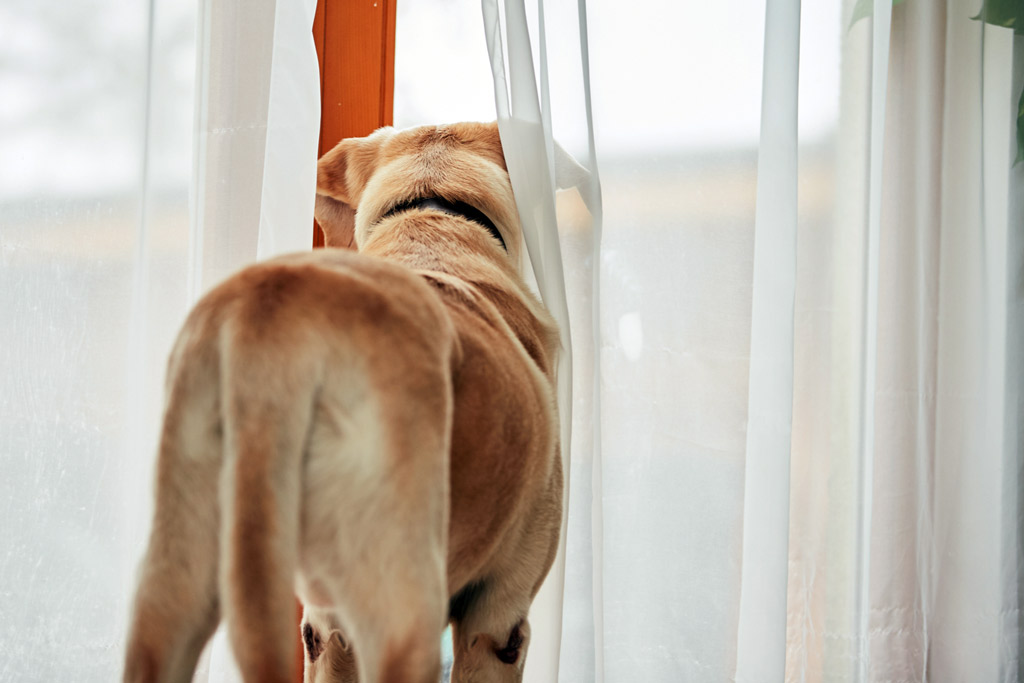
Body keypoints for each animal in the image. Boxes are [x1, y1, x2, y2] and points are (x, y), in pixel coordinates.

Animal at [125, 122, 569, 683]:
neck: (431, 218)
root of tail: (275, 328)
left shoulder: (327, 630)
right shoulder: (498, 617)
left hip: (171, 589)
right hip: (405, 608)